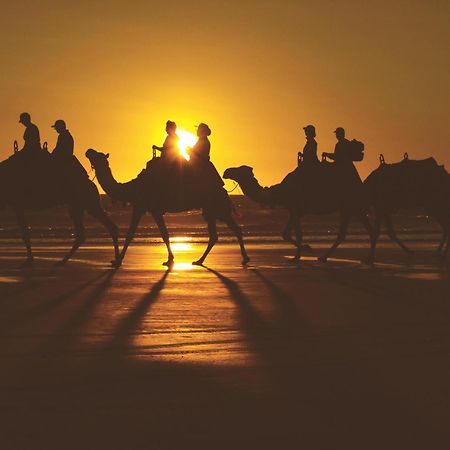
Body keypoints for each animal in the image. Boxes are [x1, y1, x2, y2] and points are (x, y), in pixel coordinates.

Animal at [85, 148, 250, 268]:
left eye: (98, 156)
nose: (88, 151)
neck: (132, 188)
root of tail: (224, 191)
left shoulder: (144, 207)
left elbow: (136, 234)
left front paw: (118, 260)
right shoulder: (149, 209)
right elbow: (162, 233)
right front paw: (170, 259)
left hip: (217, 208)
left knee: (231, 230)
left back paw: (242, 259)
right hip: (211, 210)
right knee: (218, 234)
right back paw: (201, 260)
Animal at [222, 163, 376, 262]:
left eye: (239, 170)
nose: (226, 171)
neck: (279, 193)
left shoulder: (296, 209)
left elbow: (285, 233)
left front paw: (308, 249)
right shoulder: (295, 211)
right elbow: (298, 233)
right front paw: (296, 257)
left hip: (350, 206)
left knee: (355, 231)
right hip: (351, 208)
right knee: (356, 232)